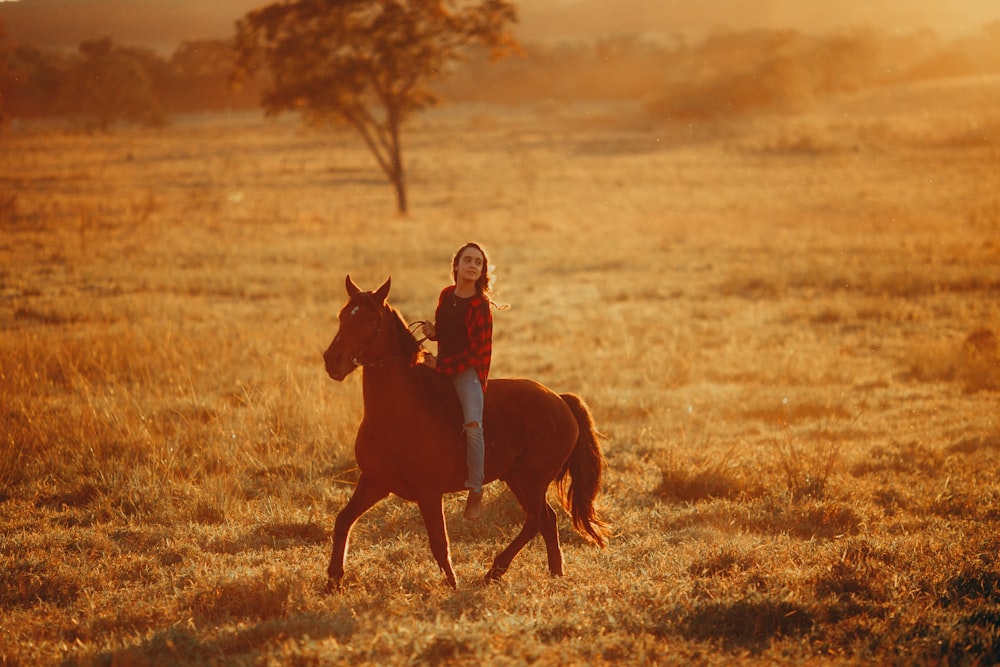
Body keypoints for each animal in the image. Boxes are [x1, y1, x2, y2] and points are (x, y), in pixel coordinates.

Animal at [324, 276, 608, 588]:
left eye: (369, 318)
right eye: (341, 315)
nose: (332, 360)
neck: (397, 415)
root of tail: (560, 399)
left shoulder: (429, 492)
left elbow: (439, 542)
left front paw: (452, 585)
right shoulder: (374, 482)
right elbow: (343, 520)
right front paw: (333, 580)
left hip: (532, 479)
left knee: (536, 519)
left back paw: (496, 569)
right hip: (517, 478)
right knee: (547, 519)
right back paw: (554, 572)